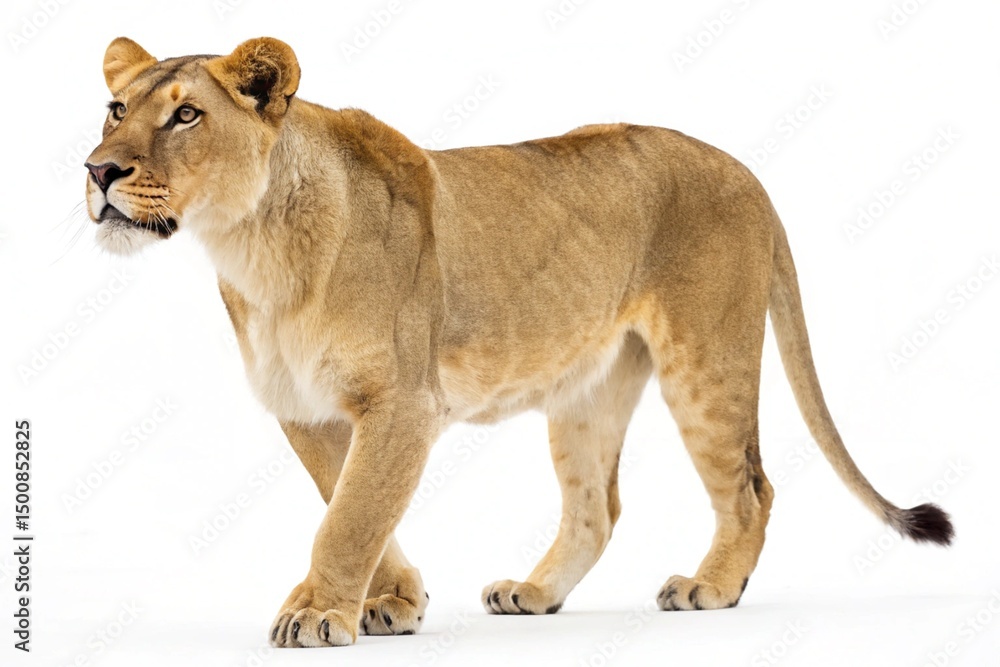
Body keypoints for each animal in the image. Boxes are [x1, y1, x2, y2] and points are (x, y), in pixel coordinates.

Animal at [84, 37, 954, 647]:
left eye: (186, 114)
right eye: (115, 109)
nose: (97, 172)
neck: (252, 247)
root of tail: (748, 172)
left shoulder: (401, 402)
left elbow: (350, 516)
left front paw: (318, 611)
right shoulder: (309, 409)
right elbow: (355, 502)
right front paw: (392, 600)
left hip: (706, 360)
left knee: (751, 487)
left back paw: (711, 586)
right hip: (588, 389)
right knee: (597, 507)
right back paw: (535, 594)